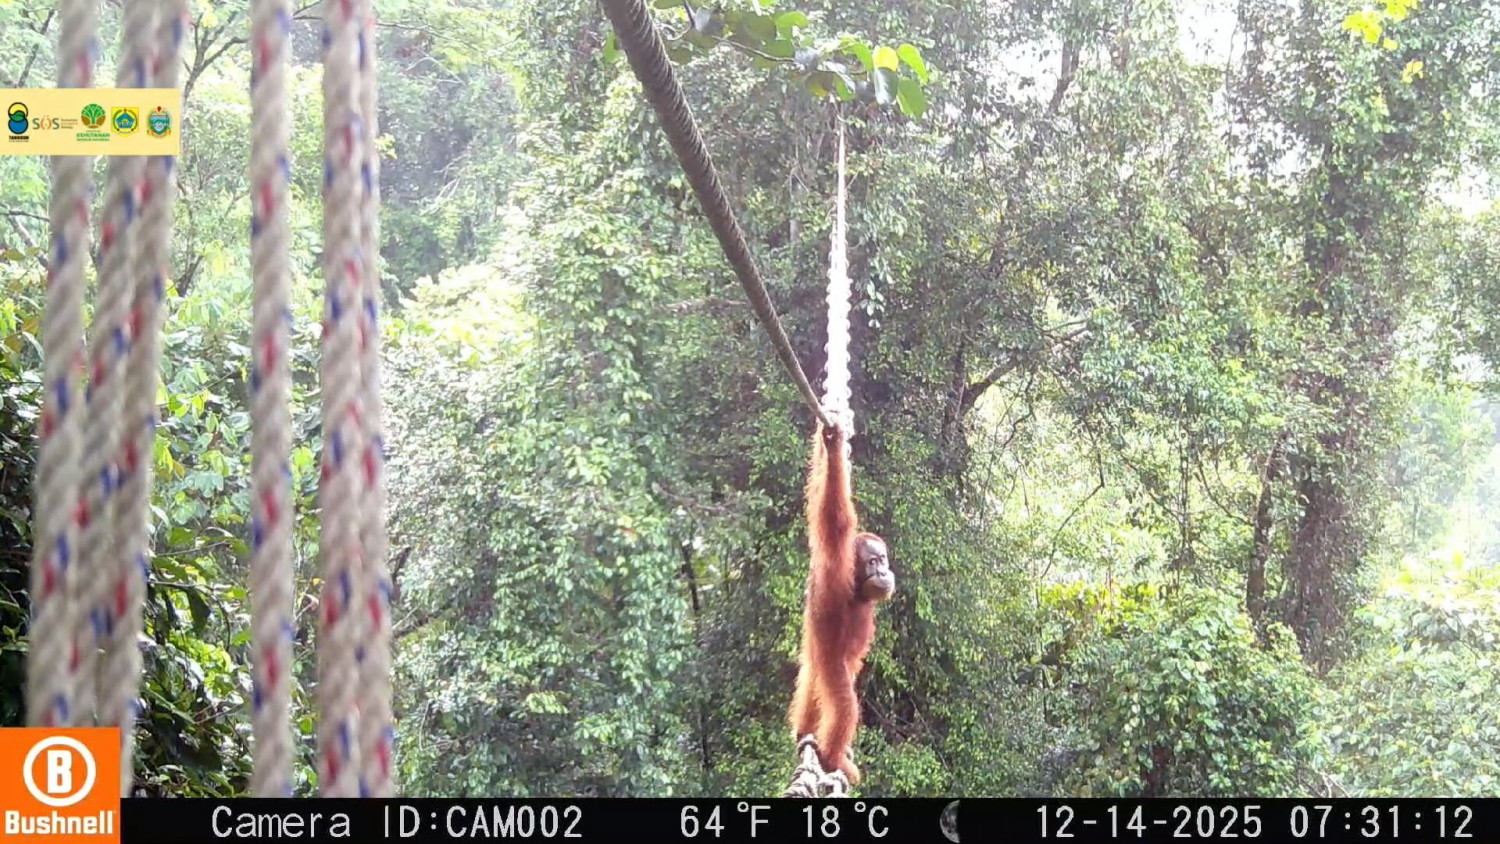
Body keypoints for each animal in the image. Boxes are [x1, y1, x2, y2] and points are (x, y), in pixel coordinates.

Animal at [788, 409, 894, 786]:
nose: (884, 572)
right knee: (844, 704)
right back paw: (832, 757)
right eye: (873, 562)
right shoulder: (836, 561)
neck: (857, 589)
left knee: (810, 686)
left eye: (884, 560)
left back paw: (804, 734)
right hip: (830, 666)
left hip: (815, 663)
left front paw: (828, 441)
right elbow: (833, 515)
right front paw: (833, 447)